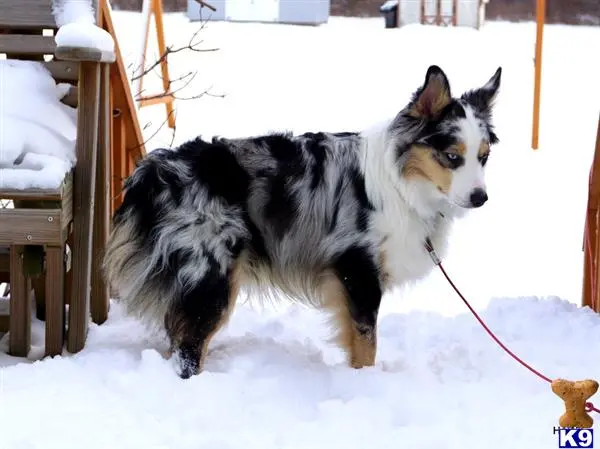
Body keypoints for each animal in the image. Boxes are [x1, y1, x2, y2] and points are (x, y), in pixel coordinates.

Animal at [103, 64, 502, 378]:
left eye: (484, 157)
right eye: (452, 156)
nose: (480, 198)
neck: (401, 182)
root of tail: (152, 172)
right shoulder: (357, 271)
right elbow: (367, 343)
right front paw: (366, 382)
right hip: (210, 275)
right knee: (188, 350)